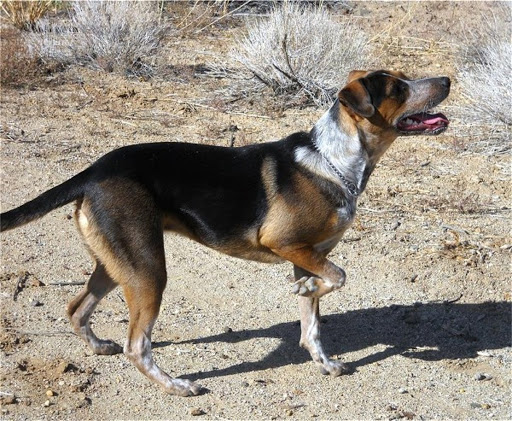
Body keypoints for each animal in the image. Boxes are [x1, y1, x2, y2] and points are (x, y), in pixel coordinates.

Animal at [1, 70, 450, 396]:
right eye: (398, 88)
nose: (446, 80)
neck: (333, 160)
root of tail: (93, 171)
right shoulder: (286, 244)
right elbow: (338, 276)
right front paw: (307, 292)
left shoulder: (306, 256)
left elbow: (313, 326)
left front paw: (322, 357)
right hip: (148, 269)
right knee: (137, 345)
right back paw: (176, 386)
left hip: (117, 263)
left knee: (77, 308)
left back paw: (98, 346)